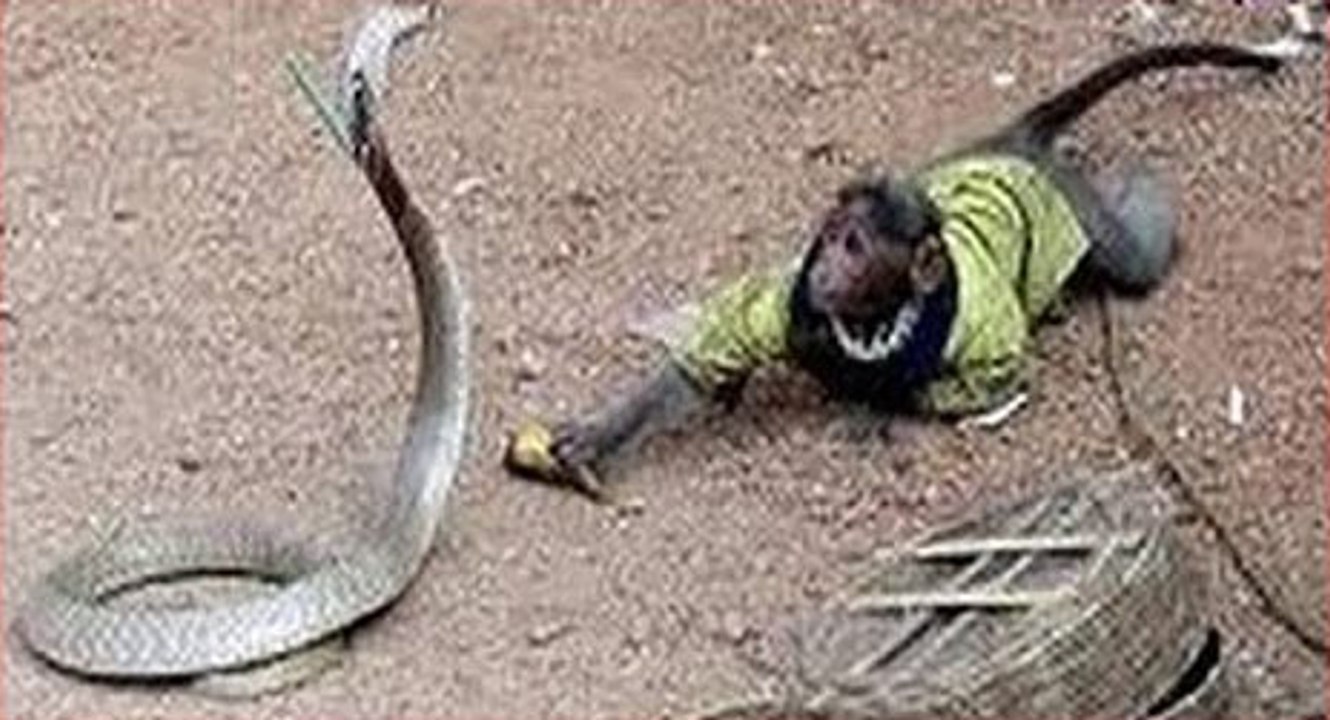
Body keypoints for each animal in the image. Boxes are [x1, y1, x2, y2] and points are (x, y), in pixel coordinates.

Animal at [504, 41, 1289, 501]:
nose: (825, 266)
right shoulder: (790, 303)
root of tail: (1010, 142)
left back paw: (1138, 186)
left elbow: (985, 380)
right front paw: (597, 436)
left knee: (1132, 261)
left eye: (856, 248)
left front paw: (871, 401)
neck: (870, 317)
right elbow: (710, 354)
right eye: (829, 240)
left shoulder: (981, 337)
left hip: (1075, 211)